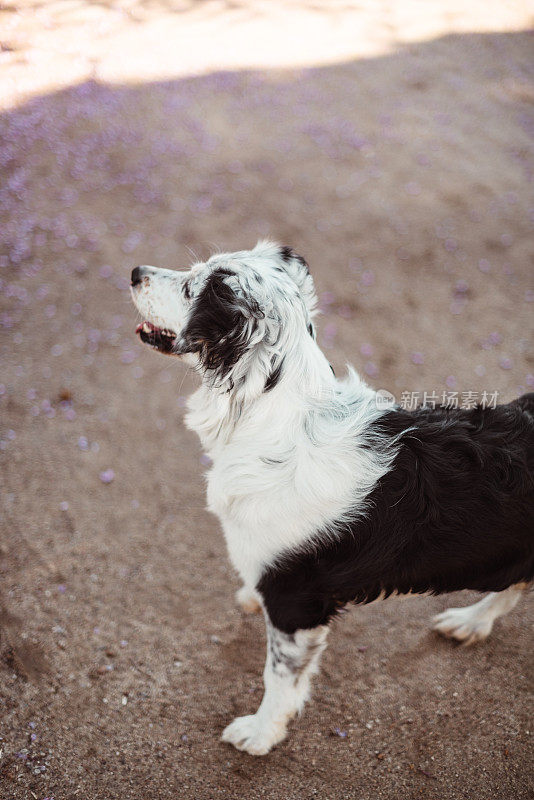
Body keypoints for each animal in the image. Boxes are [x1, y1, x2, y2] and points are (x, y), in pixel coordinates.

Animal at [131, 241, 534, 752]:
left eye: (191, 288)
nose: (134, 271)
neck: (276, 424)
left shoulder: (296, 600)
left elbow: (280, 678)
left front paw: (260, 733)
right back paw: (470, 622)